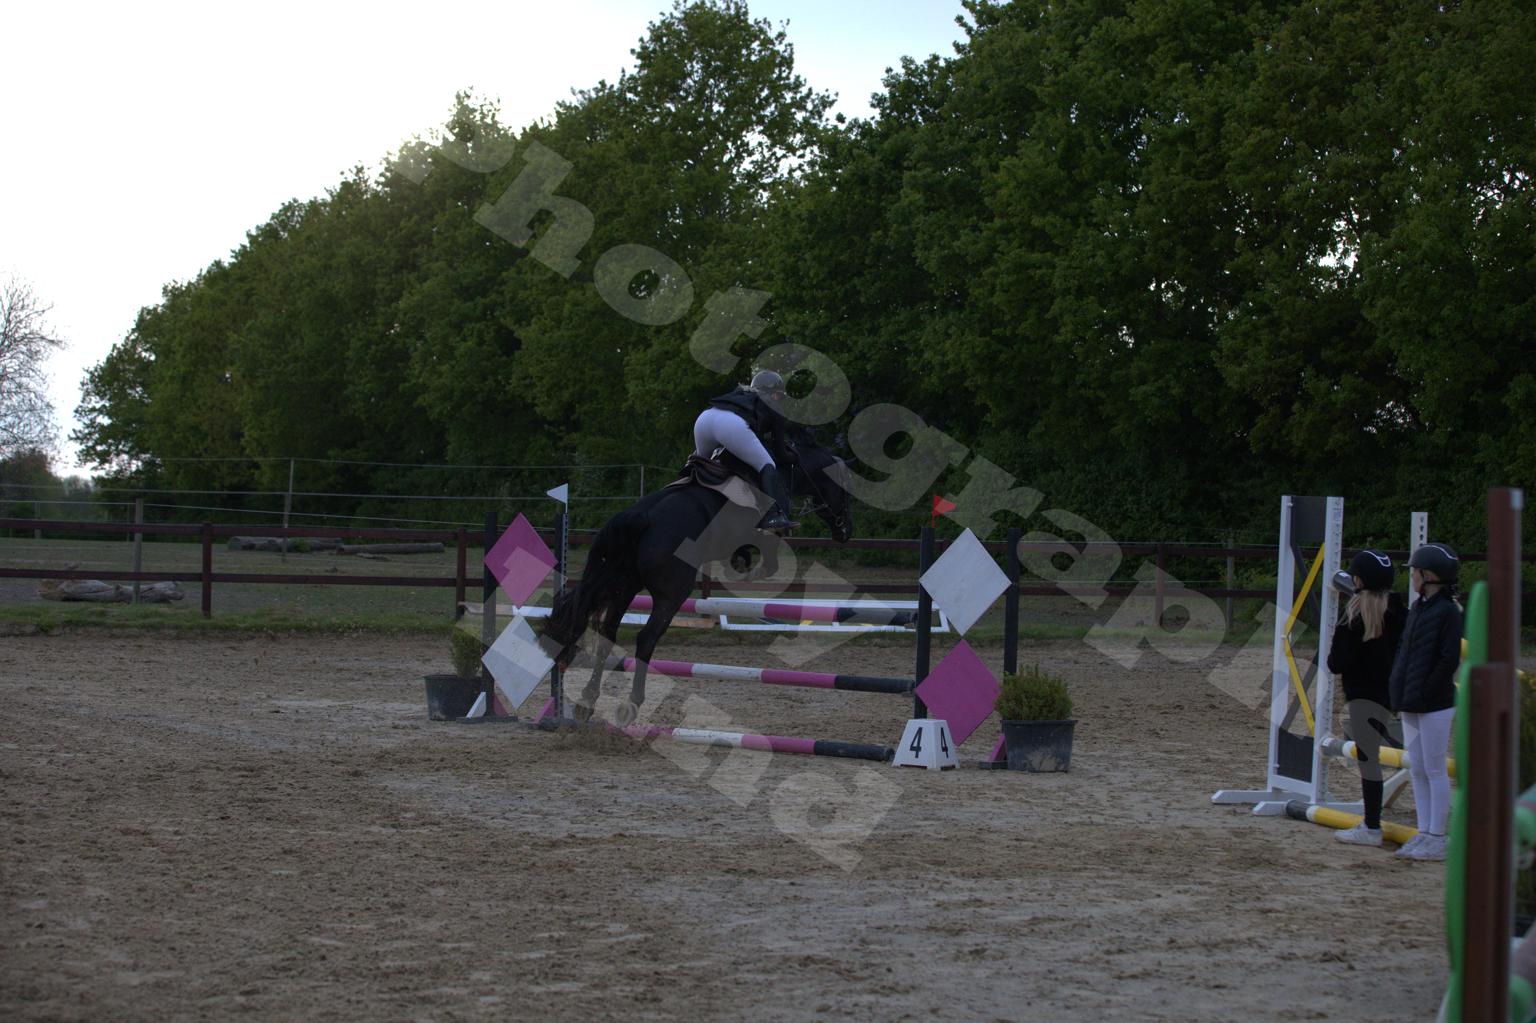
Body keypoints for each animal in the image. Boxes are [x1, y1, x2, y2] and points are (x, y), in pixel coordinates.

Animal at [541, 430, 853, 725]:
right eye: (846, 490)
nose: (845, 532)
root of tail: (641, 516)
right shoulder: (766, 535)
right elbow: (770, 565)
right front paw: (743, 572)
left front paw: (739, 564)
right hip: (673, 593)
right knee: (646, 638)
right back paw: (631, 704)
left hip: (623, 586)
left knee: (606, 634)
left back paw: (587, 701)